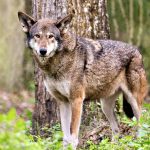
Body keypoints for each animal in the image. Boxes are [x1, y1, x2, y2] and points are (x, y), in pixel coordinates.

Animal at [18, 11, 148, 149]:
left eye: (50, 36)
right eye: (37, 36)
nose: (43, 51)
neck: (56, 64)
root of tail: (137, 51)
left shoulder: (77, 100)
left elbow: (73, 137)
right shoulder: (63, 102)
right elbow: (66, 138)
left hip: (133, 101)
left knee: (142, 123)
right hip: (105, 106)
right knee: (117, 130)